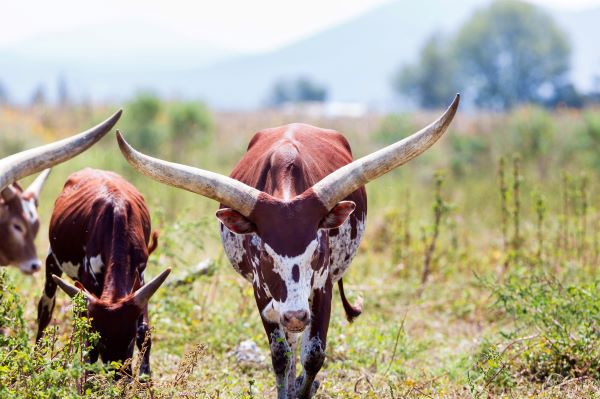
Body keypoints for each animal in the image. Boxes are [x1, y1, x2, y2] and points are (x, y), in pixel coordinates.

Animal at [36, 170, 170, 378]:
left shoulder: (141, 280)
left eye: (130, 339)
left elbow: (144, 329)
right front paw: (88, 379)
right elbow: (88, 341)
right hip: (52, 261)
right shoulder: (88, 283)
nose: (120, 376)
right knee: (45, 309)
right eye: (102, 341)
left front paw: (145, 378)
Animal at [117, 95, 462, 398]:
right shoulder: (261, 290)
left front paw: (304, 389)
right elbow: (280, 354)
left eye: (317, 251)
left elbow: (314, 353)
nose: (296, 315)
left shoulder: (322, 286)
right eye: (265, 253)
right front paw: (288, 389)